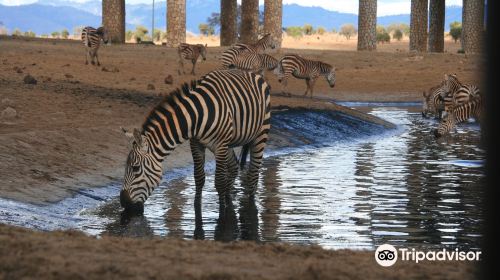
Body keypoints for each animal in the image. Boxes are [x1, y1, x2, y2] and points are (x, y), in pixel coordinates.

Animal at [119, 69, 272, 213]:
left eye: (135, 168)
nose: (123, 202)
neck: (195, 115)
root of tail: (251, 73)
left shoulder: (220, 145)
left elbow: (219, 182)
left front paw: (222, 212)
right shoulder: (196, 143)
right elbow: (199, 178)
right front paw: (197, 207)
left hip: (260, 134)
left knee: (253, 175)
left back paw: (250, 204)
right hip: (229, 143)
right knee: (234, 167)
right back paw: (229, 199)